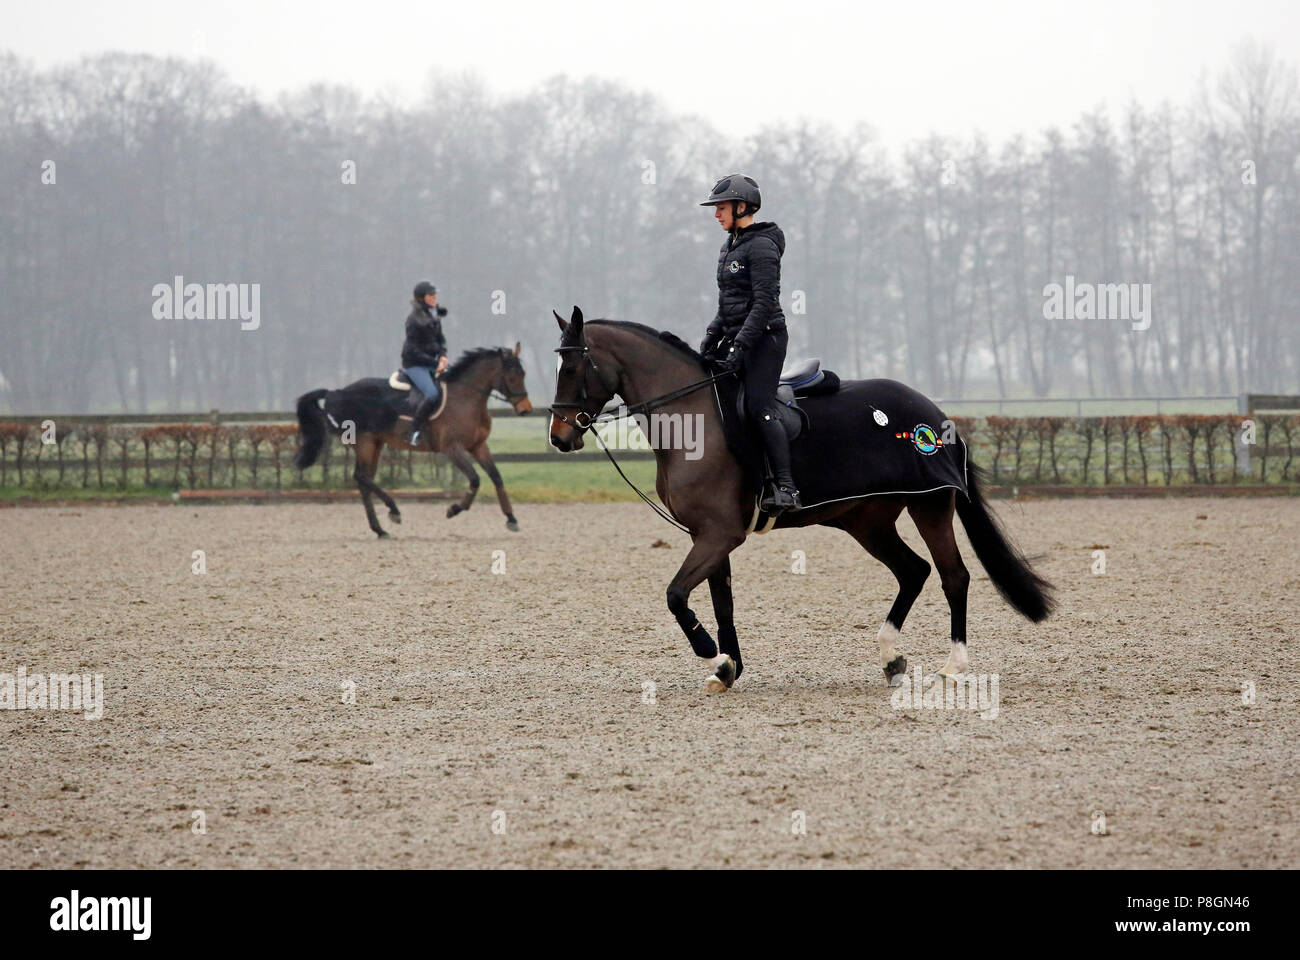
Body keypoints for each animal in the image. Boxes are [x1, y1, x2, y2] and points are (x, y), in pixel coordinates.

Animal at [296, 343, 533, 538]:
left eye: (523, 374)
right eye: (512, 376)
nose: (526, 410)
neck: (466, 398)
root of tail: (335, 392)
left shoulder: (478, 446)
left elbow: (496, 477)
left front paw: (511, 518)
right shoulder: (452, 448)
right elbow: (475, 479)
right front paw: (454, 509)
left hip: (375, 444)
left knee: (364, 480)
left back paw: (379, 529)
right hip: (365, 442)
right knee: (361, 477)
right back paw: (393, 511)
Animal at [543, 310, 1050, 692]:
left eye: (572, 369)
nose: (559, 438)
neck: (693, 419)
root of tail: (935, 414)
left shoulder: (718, 535)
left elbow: (676, 595)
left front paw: (711, 654)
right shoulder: (708, 536)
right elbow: (721, 601)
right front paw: (727, 668)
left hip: (929, 505)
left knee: (952, 576)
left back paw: (952, 667)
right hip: (868, 521)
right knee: (914, 571)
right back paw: (891, 657)